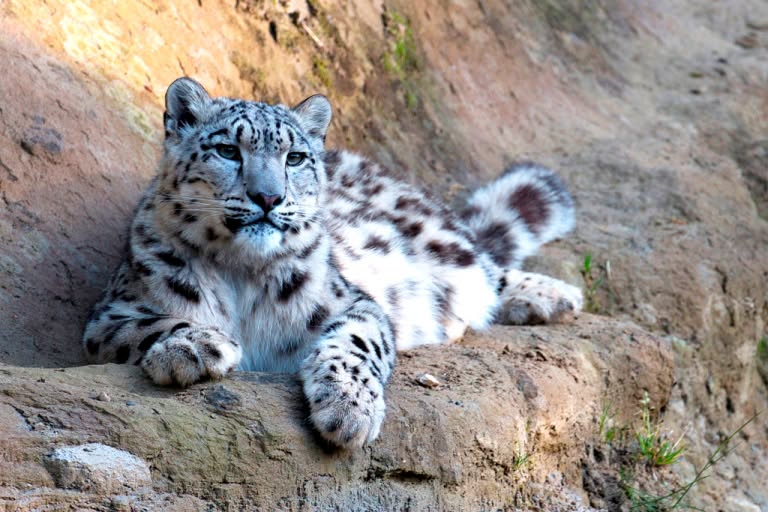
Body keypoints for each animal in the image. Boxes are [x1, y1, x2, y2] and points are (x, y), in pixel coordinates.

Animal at [82, 77, 583, 448]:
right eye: (227, 150)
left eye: (295, 157)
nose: (268, 197)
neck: (240, 272)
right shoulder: (108, 317)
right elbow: (149, 324)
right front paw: (192, 345)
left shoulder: (353, 302)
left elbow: (357, 342)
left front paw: (349, 407)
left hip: (439, 244)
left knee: (485, 265)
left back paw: (553, 295)